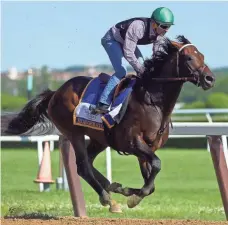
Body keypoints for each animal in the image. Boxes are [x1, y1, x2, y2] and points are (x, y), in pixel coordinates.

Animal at [1, 35, 216, 213]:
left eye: (203, 55)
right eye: (189, 58)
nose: (210, 78)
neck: (152, 101)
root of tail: (55, 93)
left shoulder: (147, 147)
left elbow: (152, 180)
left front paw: (132, 193)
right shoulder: (133, 142)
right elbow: (156, 164)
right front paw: (134, 196)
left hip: (100, 138)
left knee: (87, 162)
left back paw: (113, 187)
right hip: (74, 132)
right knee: (83, 166)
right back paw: (108, 199)